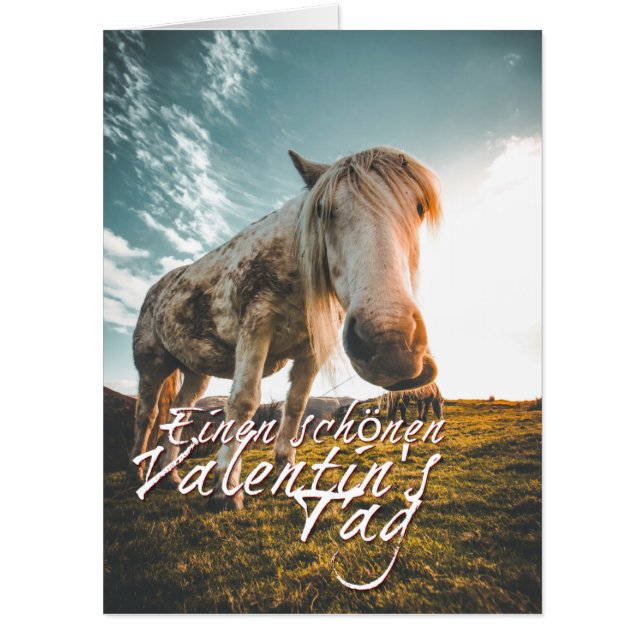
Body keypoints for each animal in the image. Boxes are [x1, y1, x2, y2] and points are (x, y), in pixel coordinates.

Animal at [128, 146, 442, 511]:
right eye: (322, 211)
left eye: (419, 207)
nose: (389, 348)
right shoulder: (255, 331)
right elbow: (243, 402)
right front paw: (226, 489)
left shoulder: (311, 352)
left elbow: (295, 407)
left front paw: (284, 471)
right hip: (153, 365)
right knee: (146, 414)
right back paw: (139, 474)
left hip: (195, 373)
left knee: (177, 412)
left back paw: (172, 476)